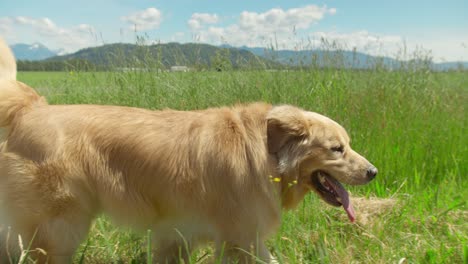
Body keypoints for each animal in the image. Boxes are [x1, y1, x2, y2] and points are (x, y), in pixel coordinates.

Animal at [0, 39, 376, 264]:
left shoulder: (177, 234)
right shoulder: (243, 238)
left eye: (348, 145)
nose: (373, 172)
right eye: (337, 148)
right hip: (59, 228)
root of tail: (31, 108)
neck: (268, 153)